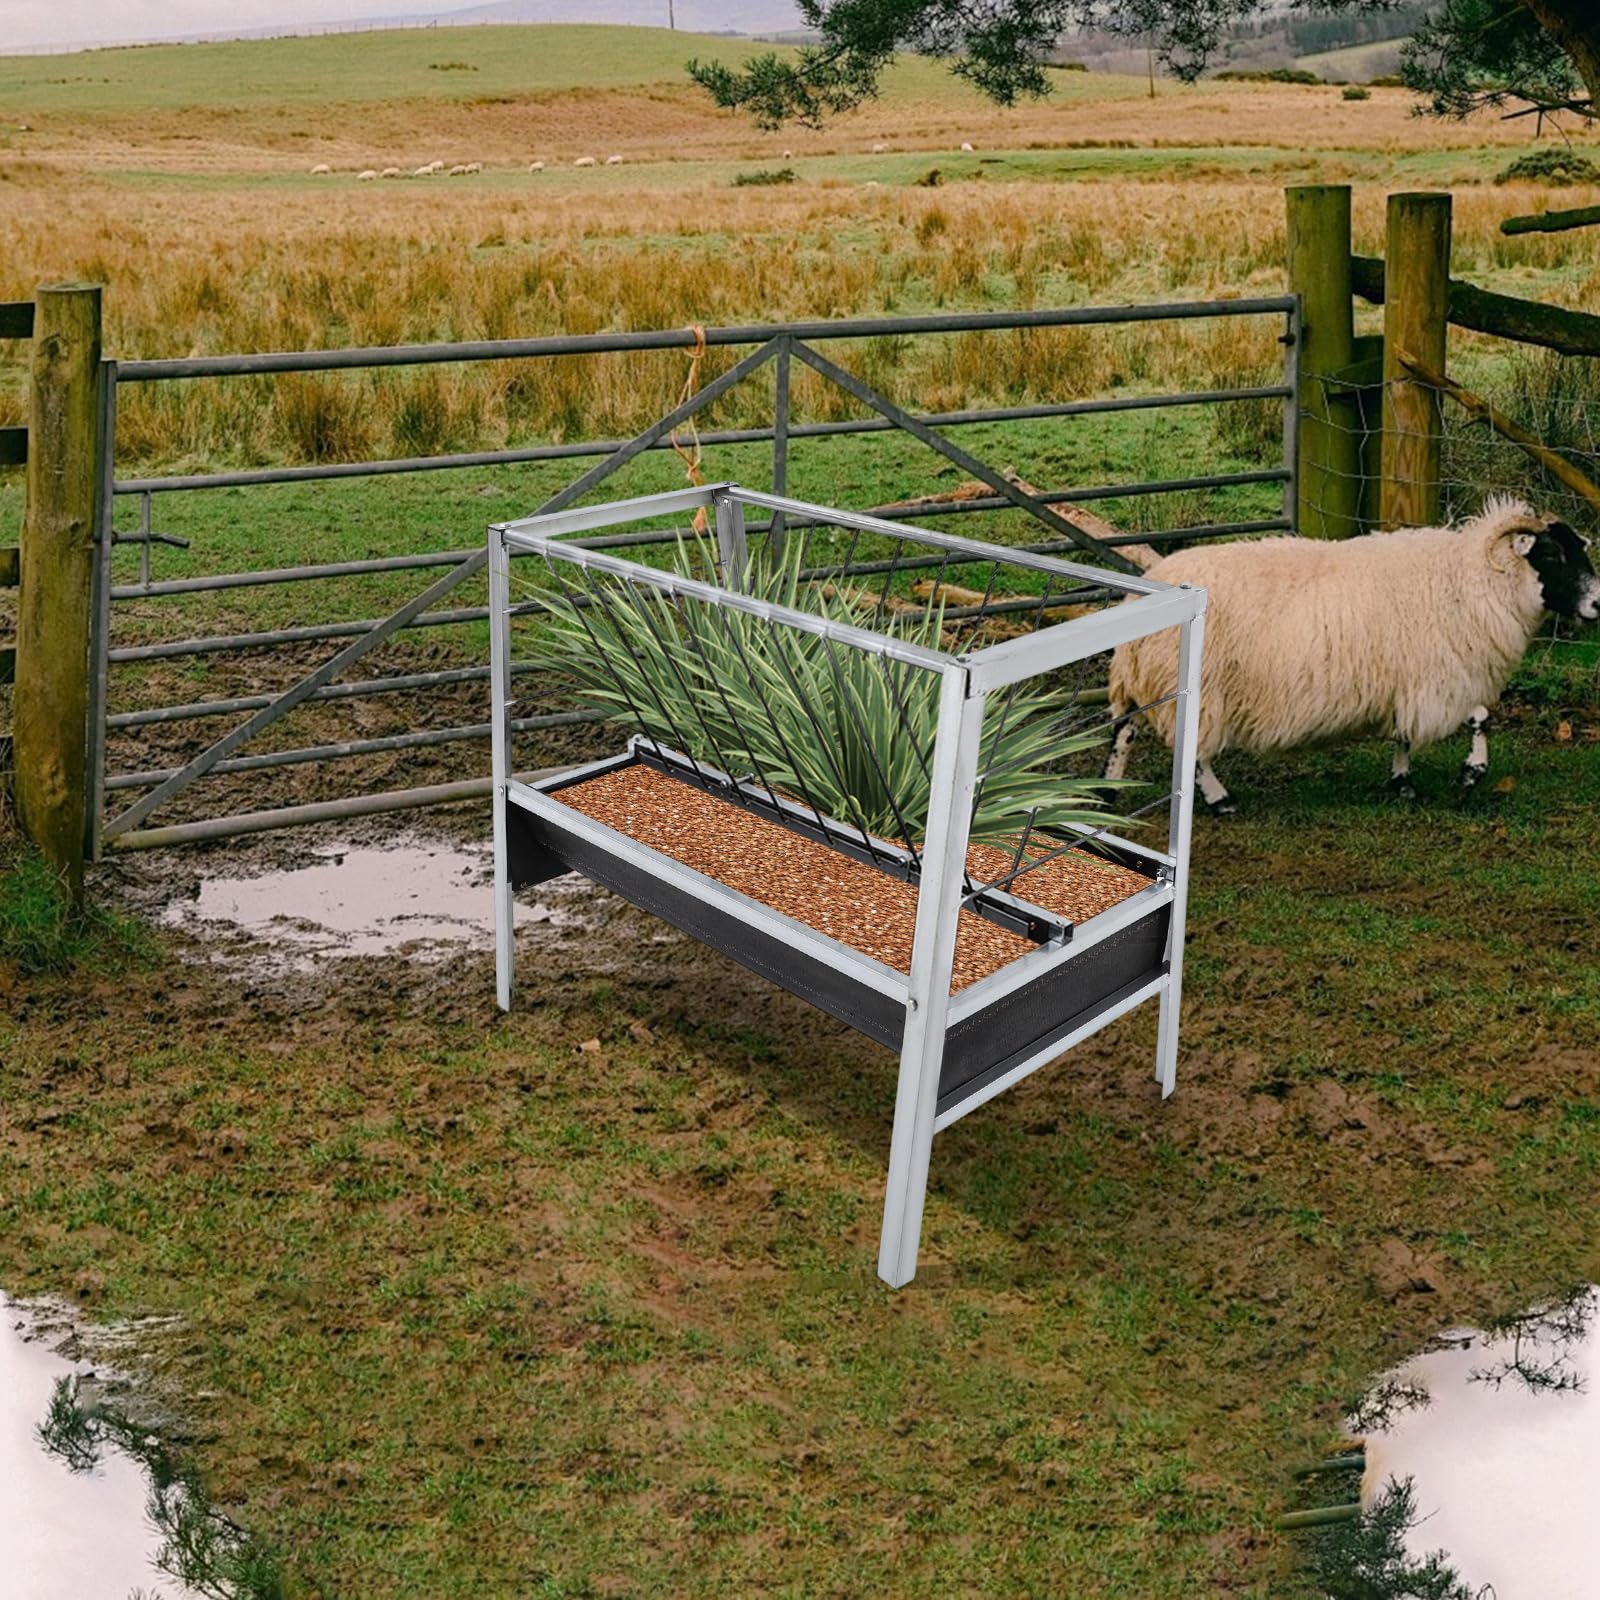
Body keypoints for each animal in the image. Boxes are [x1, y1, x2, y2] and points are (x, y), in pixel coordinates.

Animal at [1104, 500, 1600, 813]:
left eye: (1580, 551)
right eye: (1553, 554)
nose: (1598, 604)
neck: (1471, 579)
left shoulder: (1409, 678)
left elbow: (1404, 734)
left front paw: (1403, 783)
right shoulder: (1438, 674)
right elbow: (1479, 716)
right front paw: (1472, 772)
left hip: (1154, 685)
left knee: (1123, 731)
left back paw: (1108, 791)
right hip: (1199, 689)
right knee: (1192, 750)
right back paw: (1219, 798)